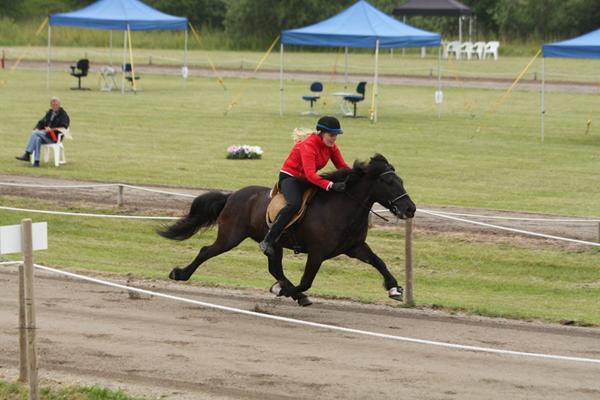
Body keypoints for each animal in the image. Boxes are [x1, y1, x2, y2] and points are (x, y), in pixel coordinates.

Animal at [157, 153, 414, 306]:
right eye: (389, 182)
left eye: (401, 181)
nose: (410, 208)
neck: (342, 208)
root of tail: (232, 196)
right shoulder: (318, 253)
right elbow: (307, 280)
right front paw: (281, 291)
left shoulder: (355, 247)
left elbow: (379, 262)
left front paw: (394, 289)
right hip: (231, 236)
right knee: (205, 251)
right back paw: (180, 274)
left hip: (274, 244)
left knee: (274, 267)